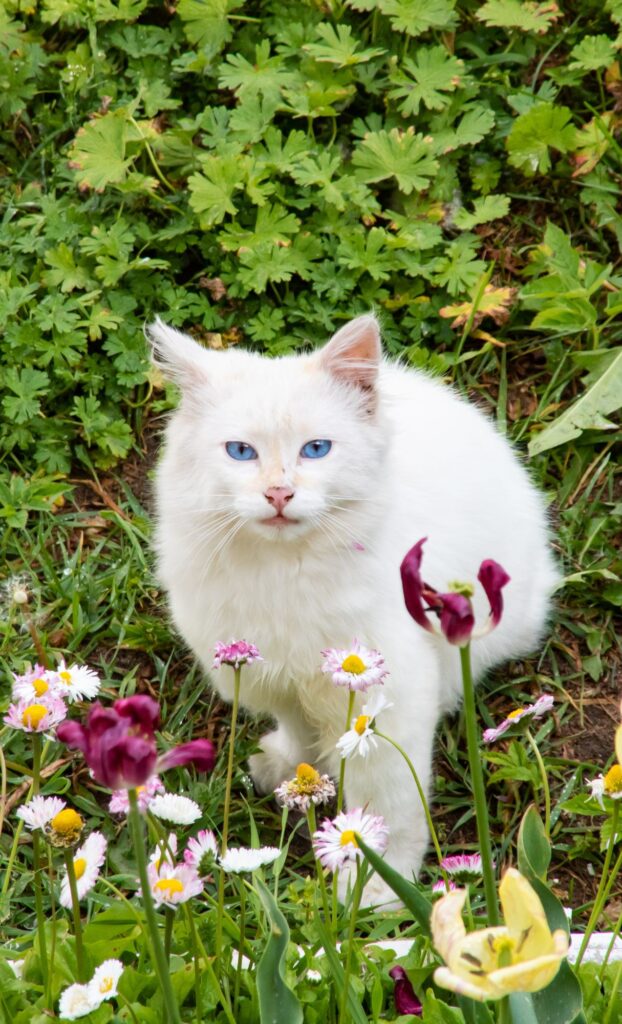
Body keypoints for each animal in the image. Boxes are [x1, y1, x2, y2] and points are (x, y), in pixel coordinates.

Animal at [150, 311, 561, 905]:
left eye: (316, 450)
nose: (279, 494)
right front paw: (291, 771)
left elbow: (385, 806)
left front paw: (379, 890)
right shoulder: (276, 677)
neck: (283, 571)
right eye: (241, 452)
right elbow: (298, 734)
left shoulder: (385, 701)